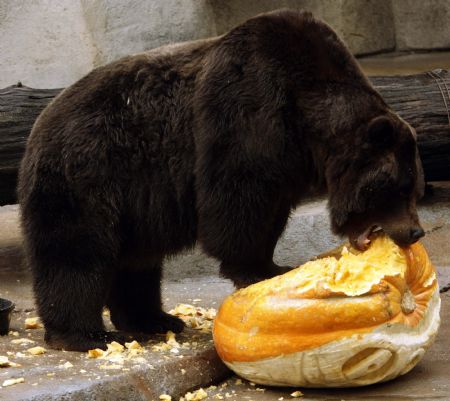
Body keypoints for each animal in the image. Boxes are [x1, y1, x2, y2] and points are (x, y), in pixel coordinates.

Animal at [18, 9, 426, 350]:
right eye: (398, 188)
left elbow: (270, 211)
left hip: (132, 204)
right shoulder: (247, 114)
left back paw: (153, 319)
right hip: (88, 174)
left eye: (414, 188)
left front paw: (270, 263)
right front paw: (259, 269)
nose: (415, 231)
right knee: (75, 252)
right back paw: (84, 334)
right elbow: (239, 201)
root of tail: (39, 125)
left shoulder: (287, 164)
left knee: (136, 261)